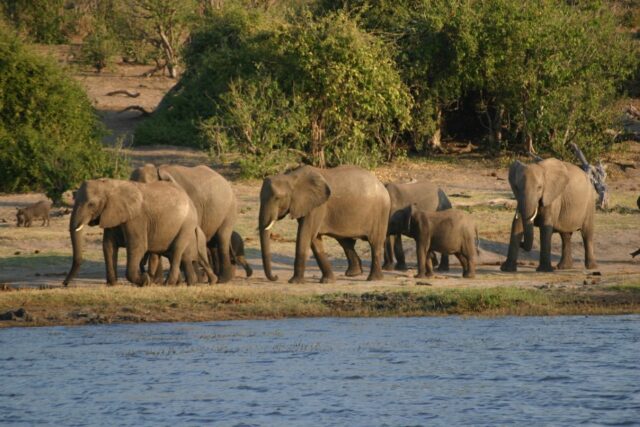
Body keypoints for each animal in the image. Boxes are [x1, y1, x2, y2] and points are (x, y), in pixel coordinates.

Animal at [258, 166, 390, 284]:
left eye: (277, 198)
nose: (276, 277)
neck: (291, 177)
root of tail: (382, 185)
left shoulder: (317, 207)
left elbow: (305, 235)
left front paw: (294, 282)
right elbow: (314, 240)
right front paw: (327, 281)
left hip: (380, 213)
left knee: (375, 243)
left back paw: (373, 279)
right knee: (346, 242)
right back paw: (354, 274)